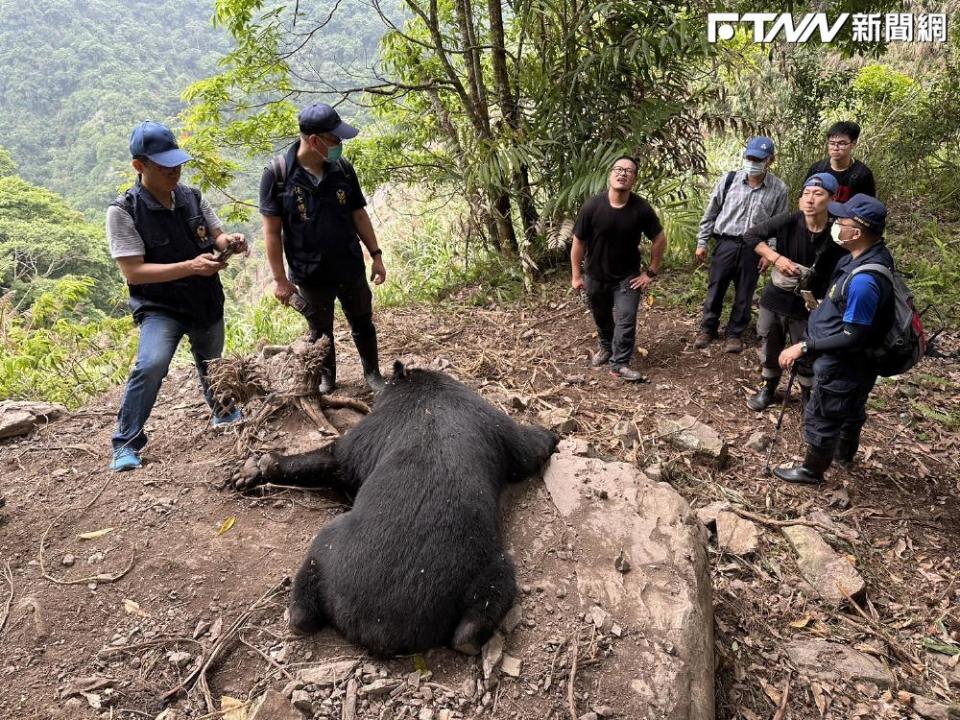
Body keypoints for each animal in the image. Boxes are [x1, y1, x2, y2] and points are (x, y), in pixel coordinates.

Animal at [231, 362, 556, 656]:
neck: (427, 389)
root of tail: (379, 627)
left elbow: (336, 458)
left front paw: (257, 466)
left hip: (332, 545)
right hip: (487, 572)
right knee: (477, 615)